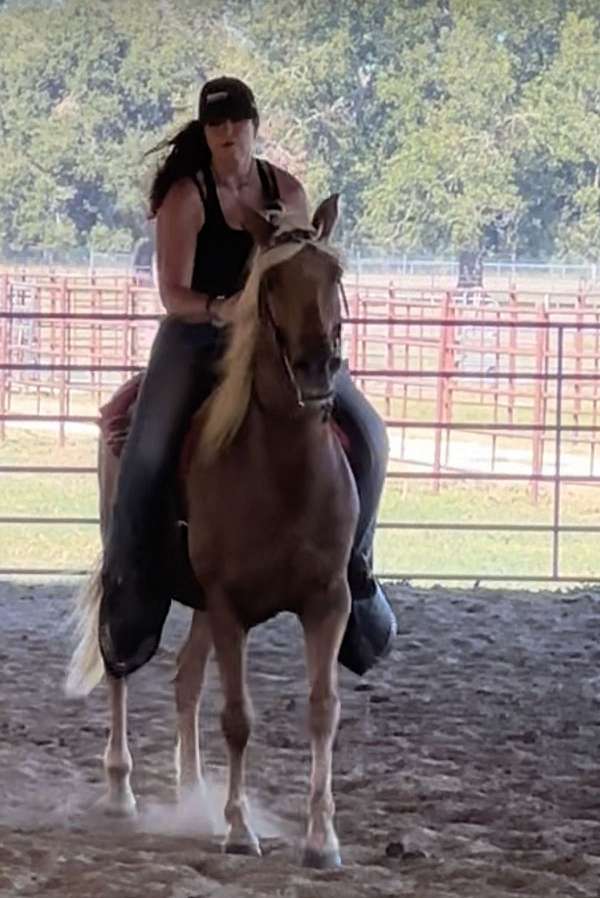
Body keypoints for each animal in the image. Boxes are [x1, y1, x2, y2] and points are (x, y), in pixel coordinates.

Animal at [67, 198, 356, 868]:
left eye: (333, 275)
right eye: (271, 283)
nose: (317, 368)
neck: (284, 473)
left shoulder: (329, 601)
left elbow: (323, 710)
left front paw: (321, 839)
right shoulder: (229, 606)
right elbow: (237, 717)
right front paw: (238, 829)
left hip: (197, 600)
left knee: (185, 680)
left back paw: (193, 794)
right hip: (133, 572)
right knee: (122, 665)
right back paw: (122, 793)